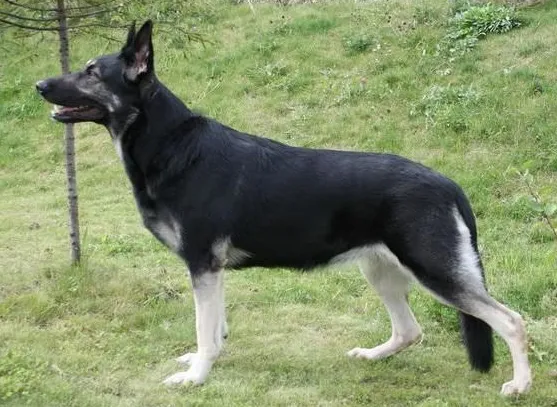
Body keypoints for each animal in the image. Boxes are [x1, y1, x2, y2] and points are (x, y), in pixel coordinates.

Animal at [34, 19, 528, 396]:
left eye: (92, 72)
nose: (39, 85)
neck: (170, 144)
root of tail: (448, 183)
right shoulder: (211, 273)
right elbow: (215, 330)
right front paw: (204, 363)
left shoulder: (202, 266)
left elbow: (205, 330)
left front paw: (196, 377)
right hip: (380, 270)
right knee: (410, 331)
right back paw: (372, 355)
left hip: (435, 273)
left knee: (512, 321)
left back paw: (520, 385)